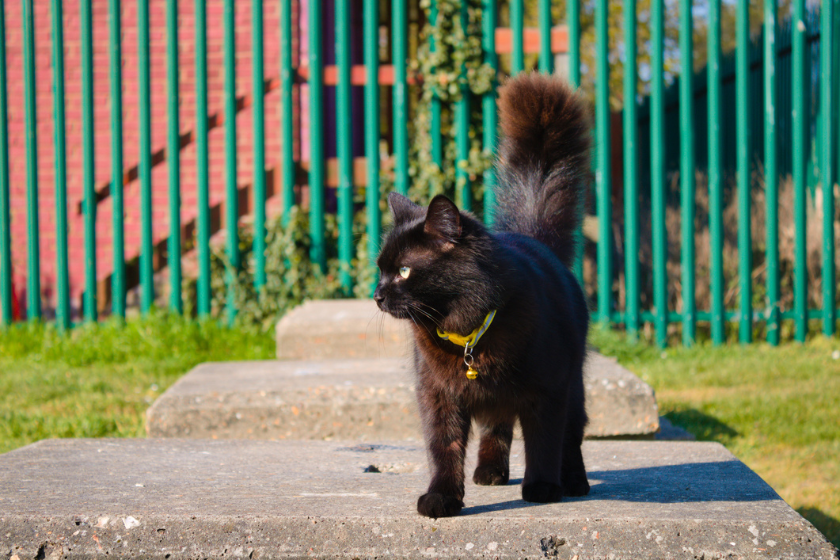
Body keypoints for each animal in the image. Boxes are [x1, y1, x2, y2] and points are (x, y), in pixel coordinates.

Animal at [374, 72, 592, 520]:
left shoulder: (549, 391)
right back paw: (489, 471)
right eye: (381, 269)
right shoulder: (437, 394)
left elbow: (545, 442)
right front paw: (442, 498)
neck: (467, 334)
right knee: (498, 426)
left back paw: (574, 481)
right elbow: (444, 448)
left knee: (571, 434)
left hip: (574, 383)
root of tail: (534, 238)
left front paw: (542, 488)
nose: (377, 295)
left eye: (403, 271)